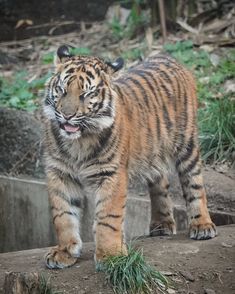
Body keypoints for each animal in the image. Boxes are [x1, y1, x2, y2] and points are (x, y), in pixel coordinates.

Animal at [42, 44, 217, 268]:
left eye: (87, 93)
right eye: (62, 89)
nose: (67, 115)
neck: (78, 141)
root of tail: (167, 57)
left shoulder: (111, 174)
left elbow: (108, 218)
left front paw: (110, 256)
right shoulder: (60, 172)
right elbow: (63, 215)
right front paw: (64, 252)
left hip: (187, 144)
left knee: (194, 184)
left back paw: (202, 226)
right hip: (153, 154)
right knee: (160, 184)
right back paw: (162, 224)